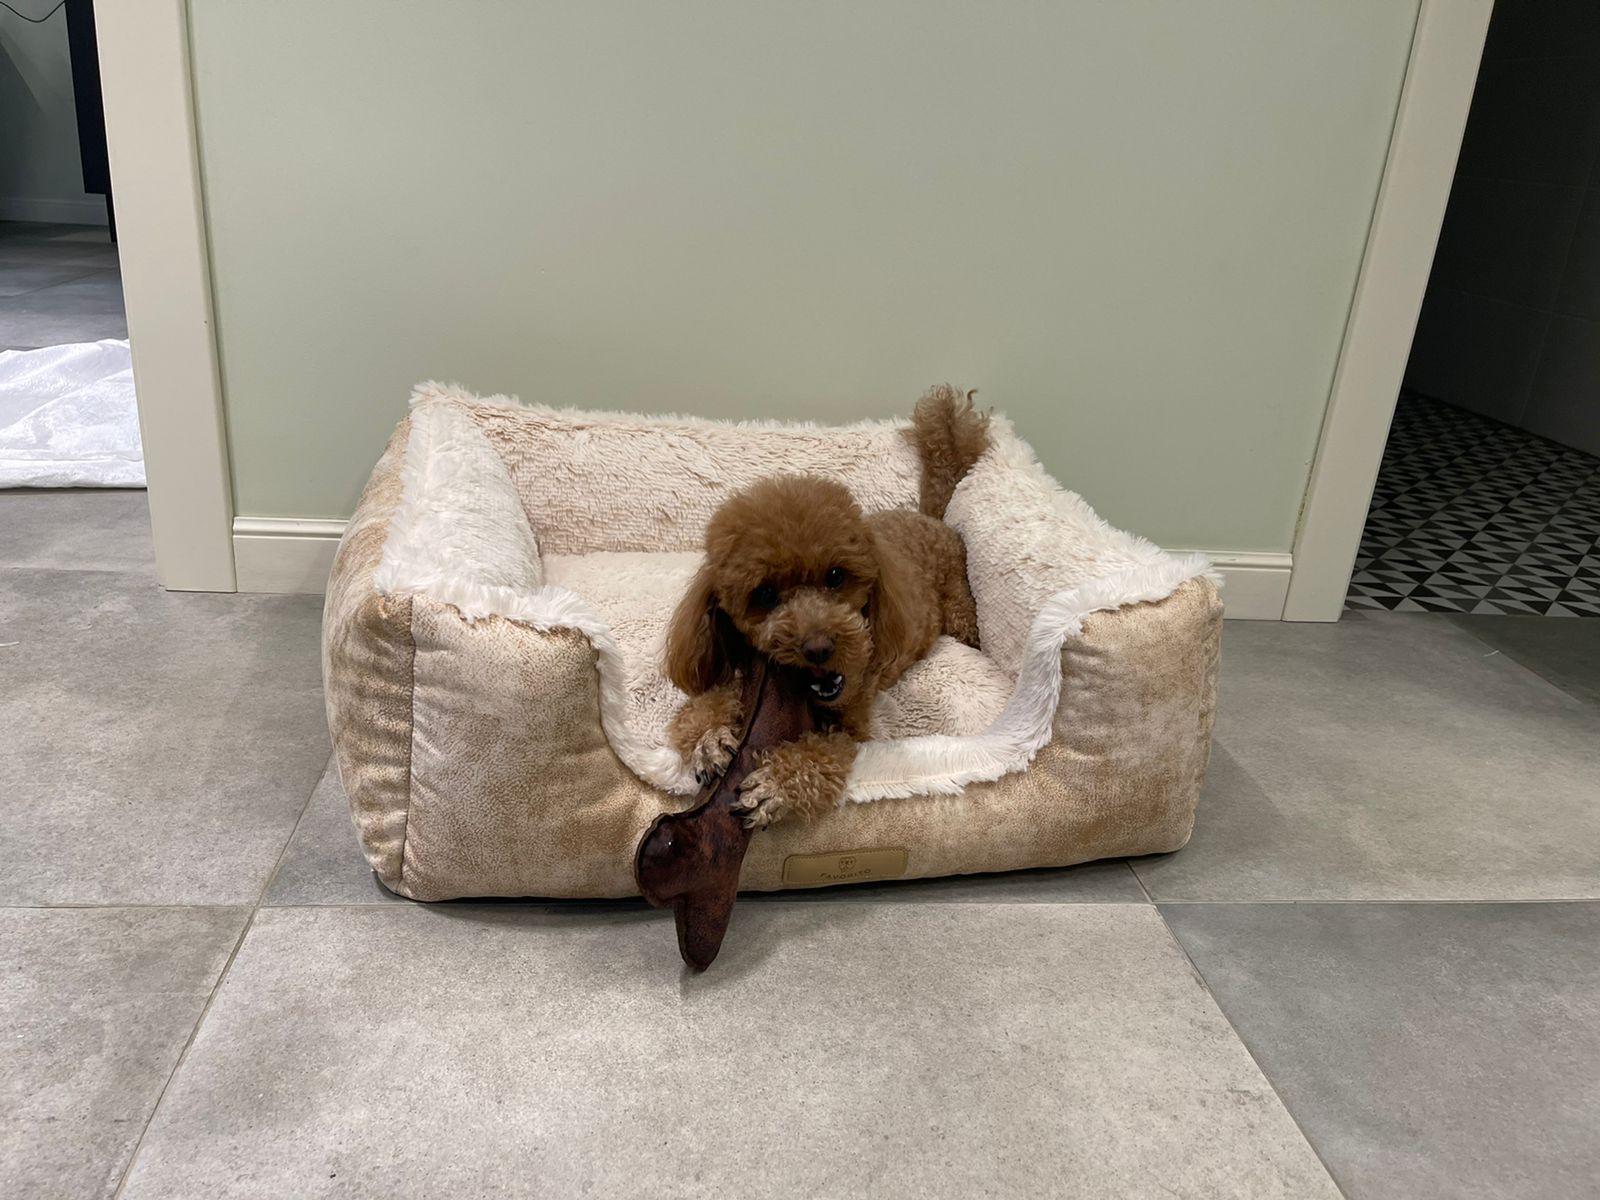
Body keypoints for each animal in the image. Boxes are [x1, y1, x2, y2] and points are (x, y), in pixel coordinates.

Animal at [664, 385, 991, 828]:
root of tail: (933, 520)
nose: (819, 648)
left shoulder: (851, 724)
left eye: (836, 576)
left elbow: (825, 752)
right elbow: (701, 706)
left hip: (960, 613)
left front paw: (778, 785)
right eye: (764, 595)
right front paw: (709, 737)